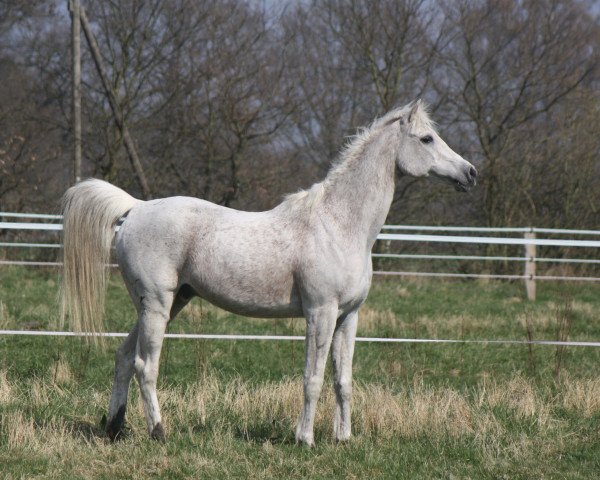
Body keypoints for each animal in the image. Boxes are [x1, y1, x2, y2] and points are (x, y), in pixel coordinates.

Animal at [59, 100, 474, 446]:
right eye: (427, 138)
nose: (469, 173)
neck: (338, 225)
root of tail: (136, 208)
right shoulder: (320, 313)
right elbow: (313, 378)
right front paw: (305, 439)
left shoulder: (349, 317)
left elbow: (343, 380)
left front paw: (344, 439)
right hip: (158, 306)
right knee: (145, 365)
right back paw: (159, 432)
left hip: (169, 303)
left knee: (123, 357)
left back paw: (115, 429)